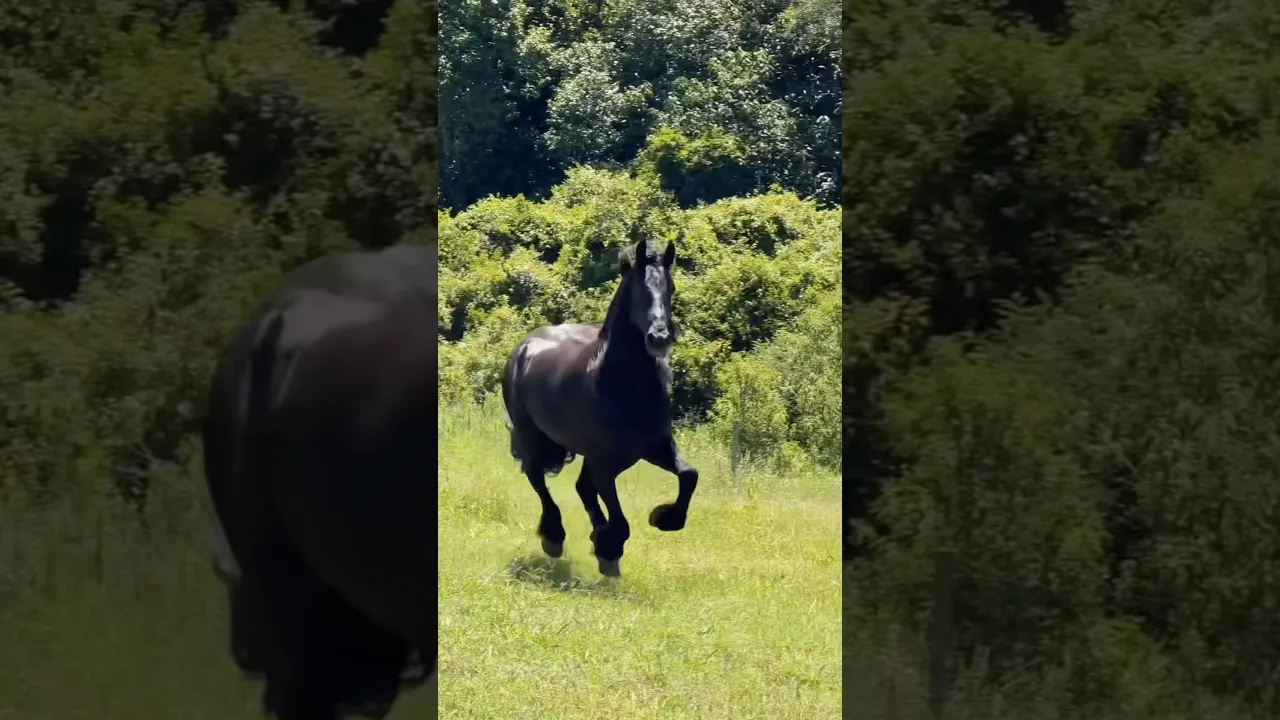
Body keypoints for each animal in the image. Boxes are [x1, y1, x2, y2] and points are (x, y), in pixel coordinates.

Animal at [500, 237, 699, 577]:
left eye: (670, 288)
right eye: (639, 288)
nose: (659, 338)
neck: (622, 387)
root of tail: (525, 345)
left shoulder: (655, 447)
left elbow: (689, 475)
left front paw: (665, 520)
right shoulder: (604, 464)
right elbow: (619, 519)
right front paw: (609, 548)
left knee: (581, 487)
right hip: (531, 437)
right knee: (537, 478)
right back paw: (554, 538)